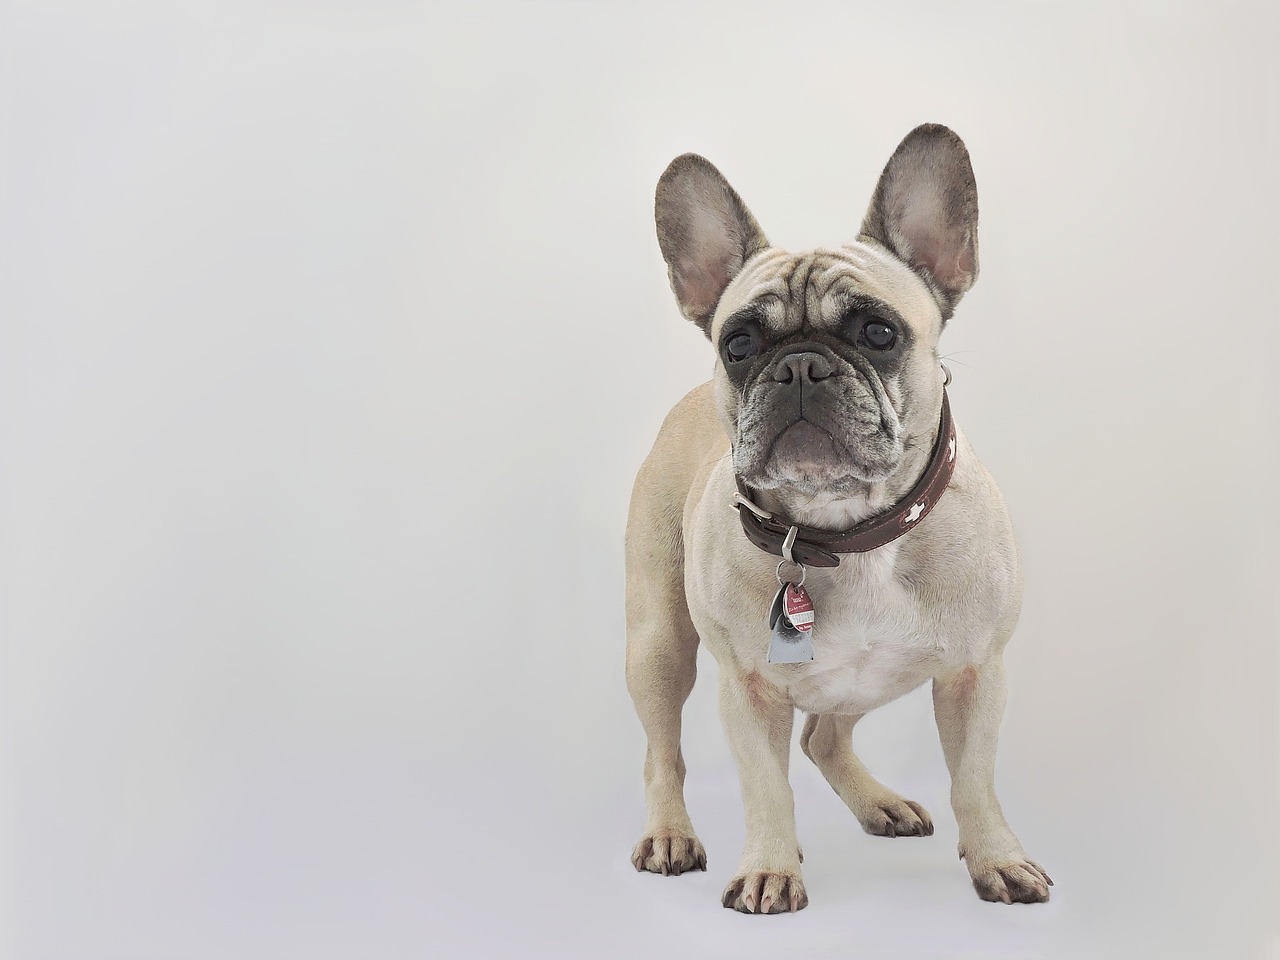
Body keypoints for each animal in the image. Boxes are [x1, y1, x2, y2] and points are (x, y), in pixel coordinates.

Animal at [622, 124, 1049, 911]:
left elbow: (975, 781)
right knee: (665, 752)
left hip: (872, 675)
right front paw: (767, 867)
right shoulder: (747, 688)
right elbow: (766, 786)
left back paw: (878, 801)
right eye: (737, 345)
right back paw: (670, 833)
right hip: (658, 643)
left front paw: (998, 858)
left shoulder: (976, 673)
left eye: (879, 332)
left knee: (823, 736)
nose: (798, 366)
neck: (846, 530)